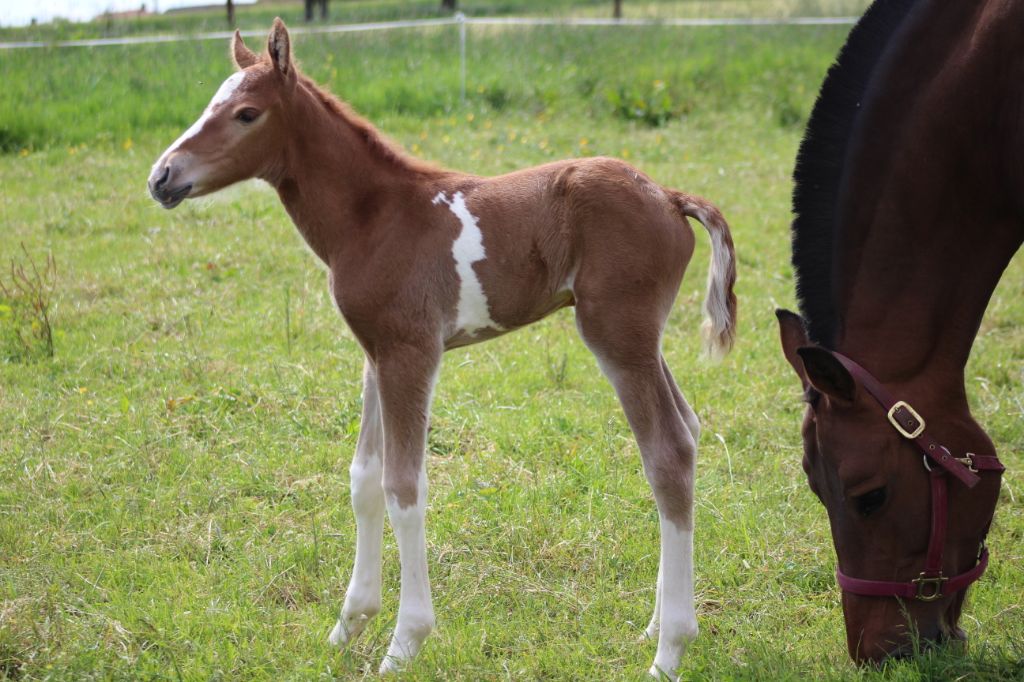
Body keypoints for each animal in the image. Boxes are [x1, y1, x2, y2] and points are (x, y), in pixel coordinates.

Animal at [146, 18, 737, 675]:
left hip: (617, 335)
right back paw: (654, 625)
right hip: (642, 338)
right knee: (690, 427)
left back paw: (669, 650)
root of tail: (668, 195)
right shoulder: (375, 355)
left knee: (668, 453)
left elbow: (404, 487)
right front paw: (349, 624)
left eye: (246, 113)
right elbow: (364, 478)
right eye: (211, 104)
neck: (374, 218)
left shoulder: (411, 353)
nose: (162, 177)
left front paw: (404, 643)